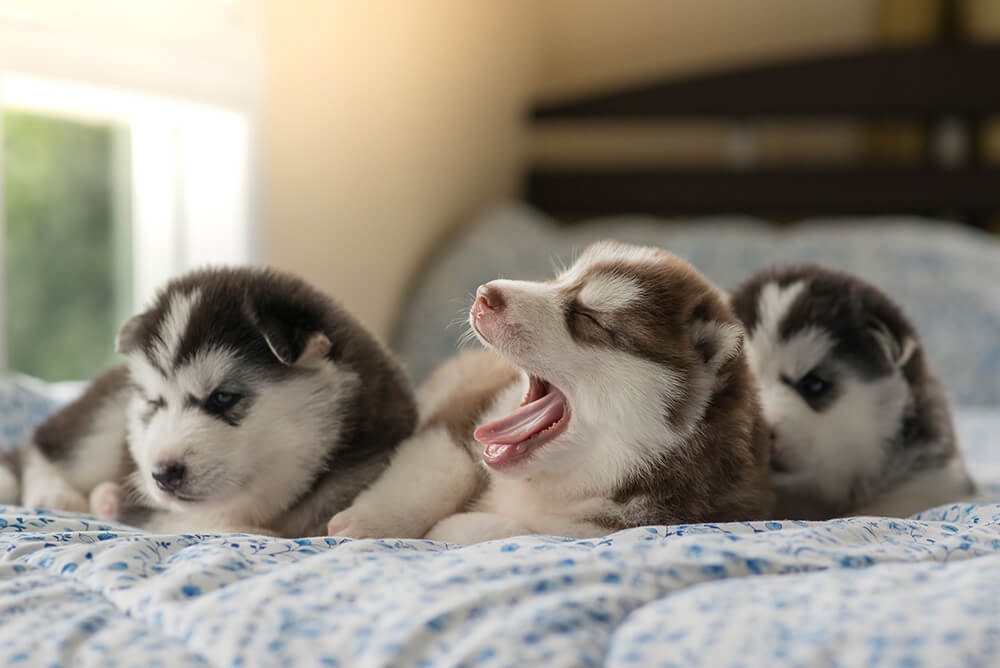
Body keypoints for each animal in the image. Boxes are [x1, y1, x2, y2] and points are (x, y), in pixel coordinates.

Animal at [10, 268, 414, 536]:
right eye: (155, 403)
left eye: (222, 397)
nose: (162, 474)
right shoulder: (161, 511)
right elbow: (221, 524)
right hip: (104, 420)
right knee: (39, 444)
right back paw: (54, 492)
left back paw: (104, 498)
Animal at [328, 240, 772, 544]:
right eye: (559, 281)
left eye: (588, 317)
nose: (485, 294)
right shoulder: (472, 405)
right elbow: (439, 469)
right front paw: (366, 521)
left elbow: (523, 531)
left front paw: (454, 528)